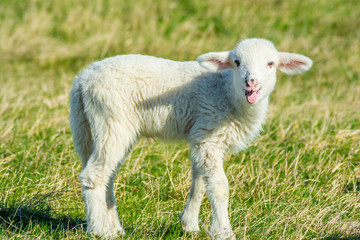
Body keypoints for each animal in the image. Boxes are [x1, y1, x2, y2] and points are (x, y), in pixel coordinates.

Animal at [69, 38, 312, 239]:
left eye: (270, 63)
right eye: (236, 62)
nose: (251, 82)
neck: (227, 92)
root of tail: (83, 79)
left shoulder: (201, 135)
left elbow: (200, 182)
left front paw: (190, 225)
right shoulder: (209, 134)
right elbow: (219, 186)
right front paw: (223, 231)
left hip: (98, 125)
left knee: (106, 175)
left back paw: (114, 227)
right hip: (111, 118)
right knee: (94, 175)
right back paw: (99, 231)